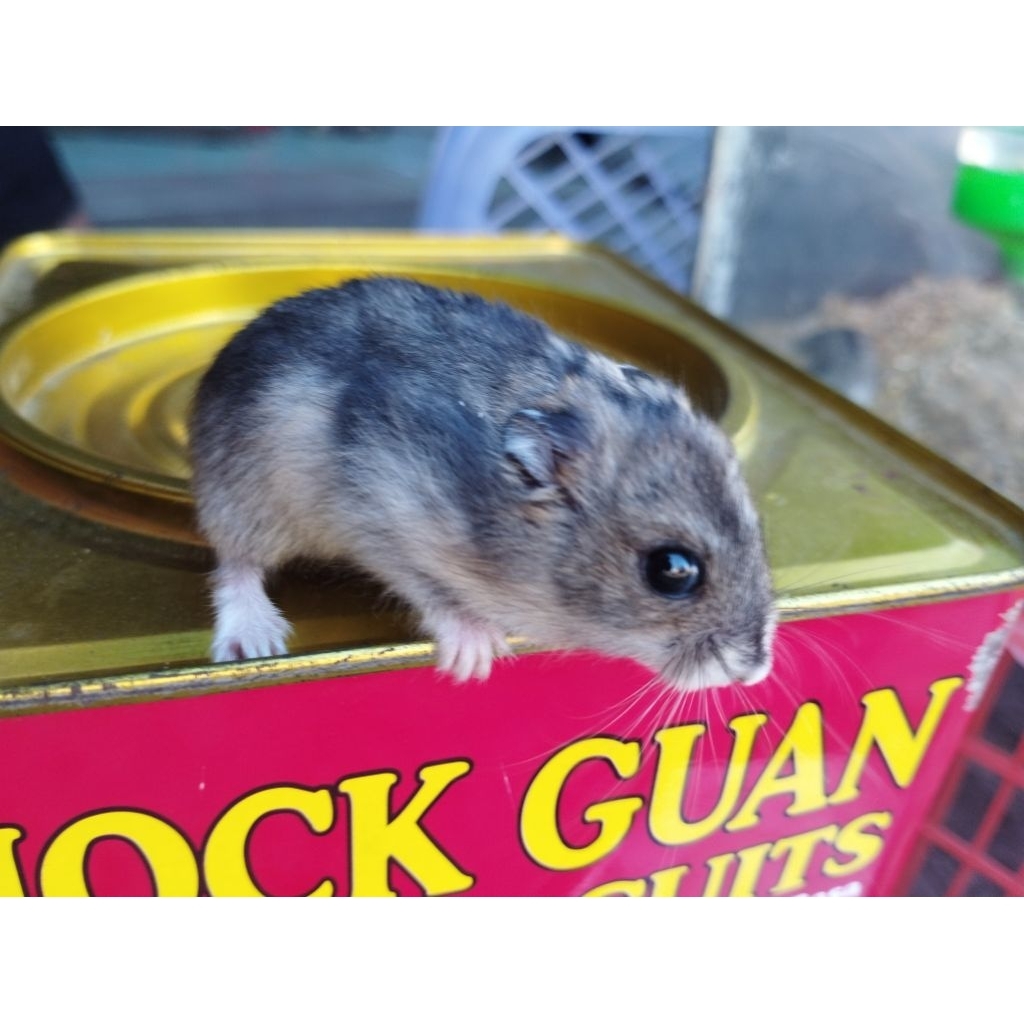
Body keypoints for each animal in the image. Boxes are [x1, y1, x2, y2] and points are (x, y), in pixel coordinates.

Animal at [188, 276, 776, 690]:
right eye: (672, 571)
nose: (754, 672)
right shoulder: (383, 512)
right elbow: (433, 587)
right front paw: (476, 661)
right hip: (245, 494)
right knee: (234, 563)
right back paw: (255, 642)